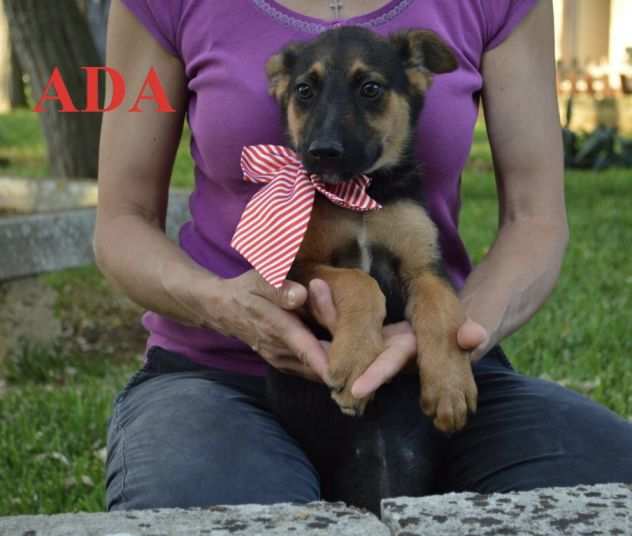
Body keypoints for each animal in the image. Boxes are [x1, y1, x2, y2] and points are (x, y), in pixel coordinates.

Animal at [264, 27, 476, 434]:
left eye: (370, 88)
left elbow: (442, 313)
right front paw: (356, 363)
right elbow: (359, 282)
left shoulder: (425, 268)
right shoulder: (301, 266)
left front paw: (450, 386)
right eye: (304, 90)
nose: (323, 152)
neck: (362, 191)